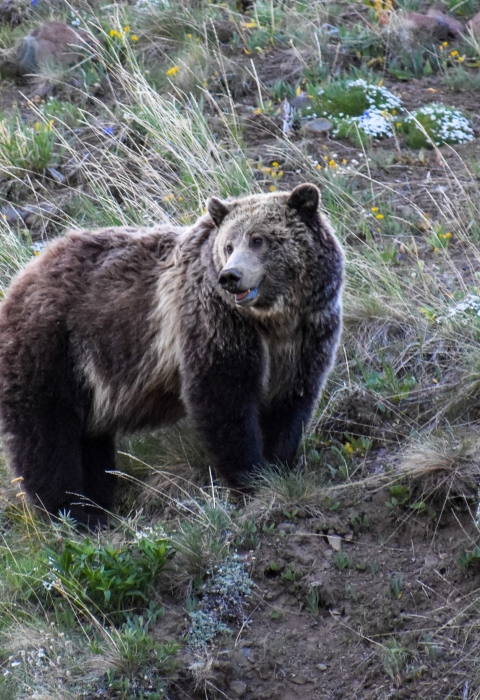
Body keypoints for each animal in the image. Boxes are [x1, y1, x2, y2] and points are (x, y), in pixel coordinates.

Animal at [0, 183, 344, 527]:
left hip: (87, 379)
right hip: (52, 348)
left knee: (89, 441)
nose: (231, 276)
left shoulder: (307, 336)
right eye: (229, 245)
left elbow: (291, 404)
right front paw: (251, 479)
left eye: (259, 239)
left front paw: (279, 467)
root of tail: (21, 277)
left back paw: (96, 503)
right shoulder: (216, 322)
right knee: (47, 436)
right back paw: (71, 512)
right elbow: (224, 398)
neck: (273, 319)